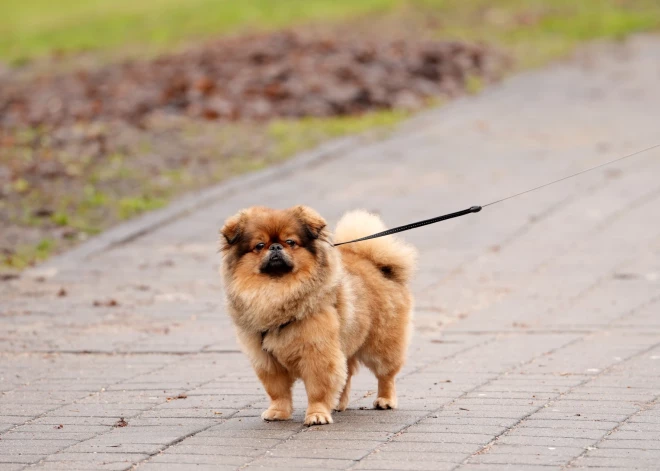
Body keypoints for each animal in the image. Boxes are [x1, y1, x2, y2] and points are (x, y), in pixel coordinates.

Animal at [222, 205, 418, 426]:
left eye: (291, 242)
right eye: (260, 245)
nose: (275, 247)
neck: (277, 289)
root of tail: (376, 264)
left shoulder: (318, 353)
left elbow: (318, 388)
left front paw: (317, 414)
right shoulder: (267, 361)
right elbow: (277, 392)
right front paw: (278, 412)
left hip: (381, 347)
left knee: (386, 375)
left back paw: (385, 400)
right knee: (346, 374)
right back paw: (338, 403)